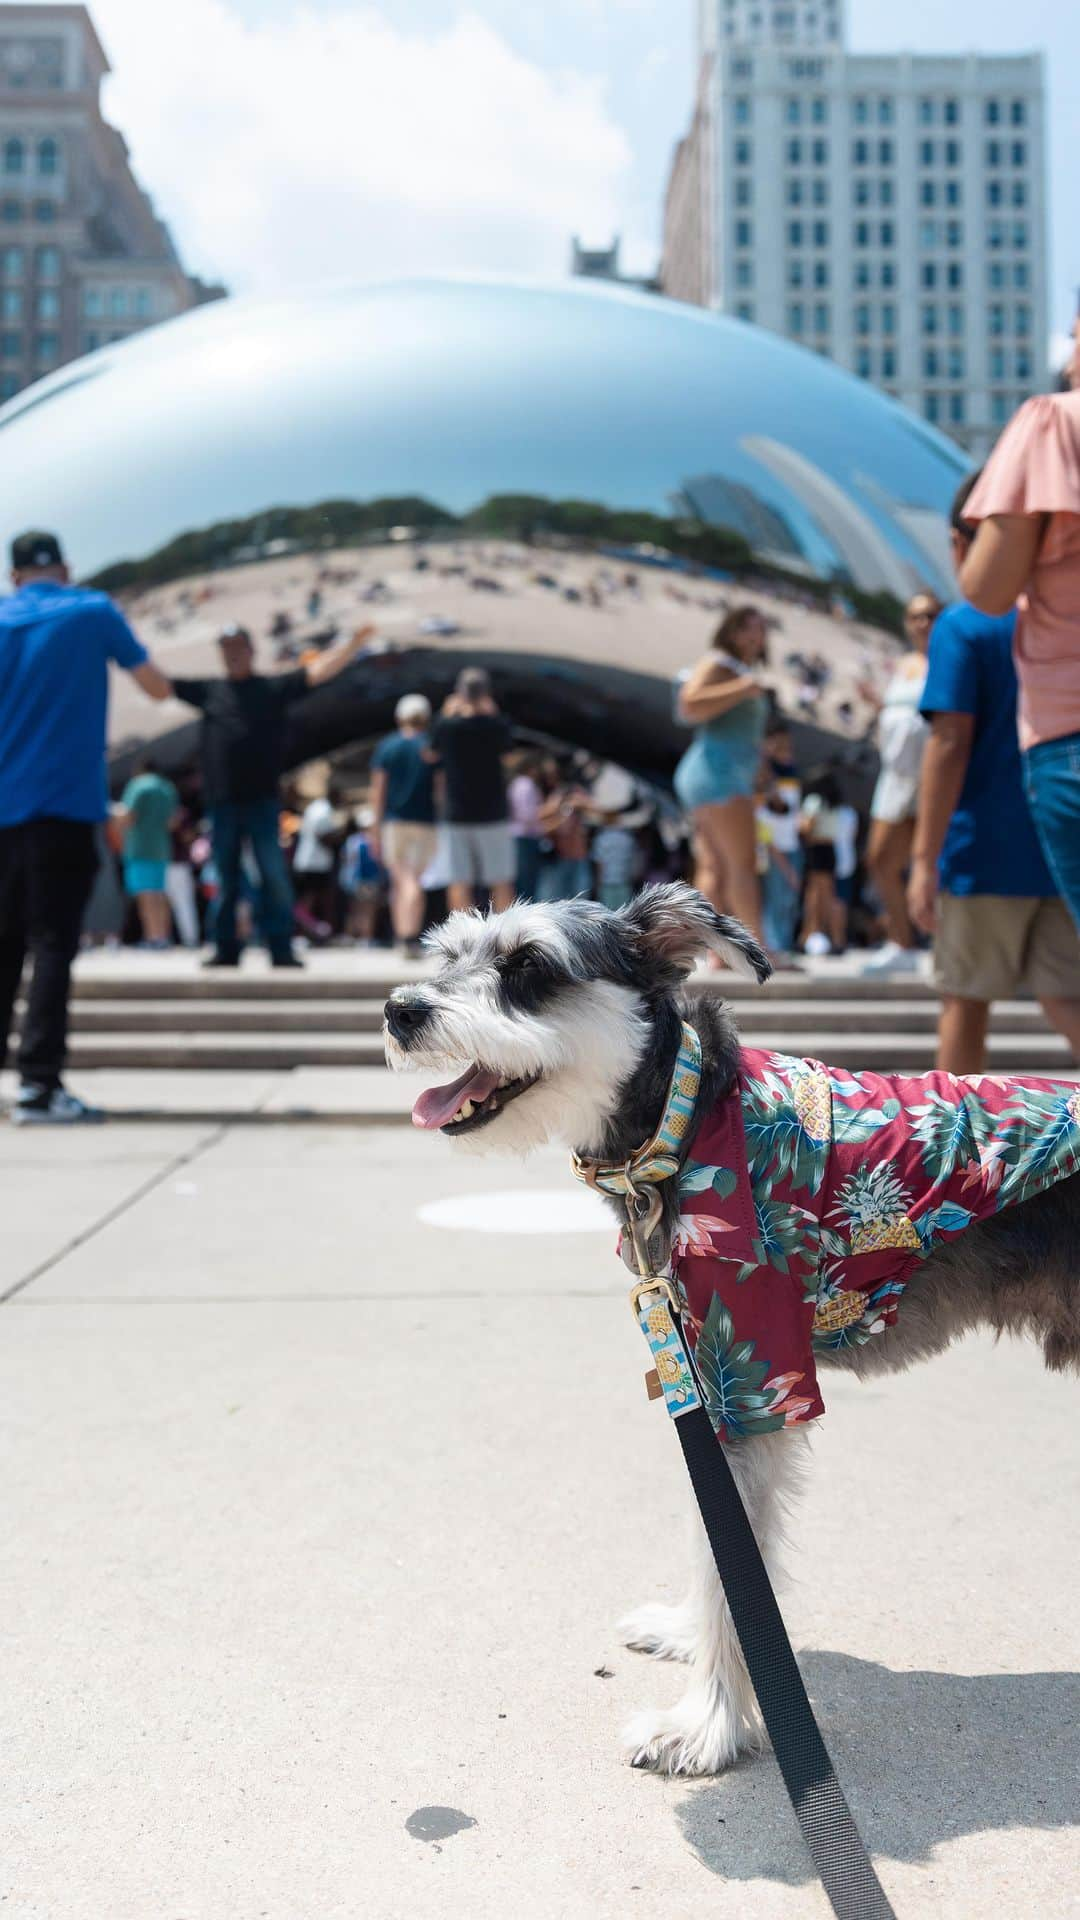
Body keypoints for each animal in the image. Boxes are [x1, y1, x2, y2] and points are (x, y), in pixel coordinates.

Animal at [384, 890, 1076, 1774]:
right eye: (446, 954)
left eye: (530, 967)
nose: (401, 1009)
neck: (683, 1120)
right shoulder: (702, 1380)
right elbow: (715, 1543)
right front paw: (685, 1637)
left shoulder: (753, 1381)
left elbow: (736, 1566)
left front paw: (703, 1726)